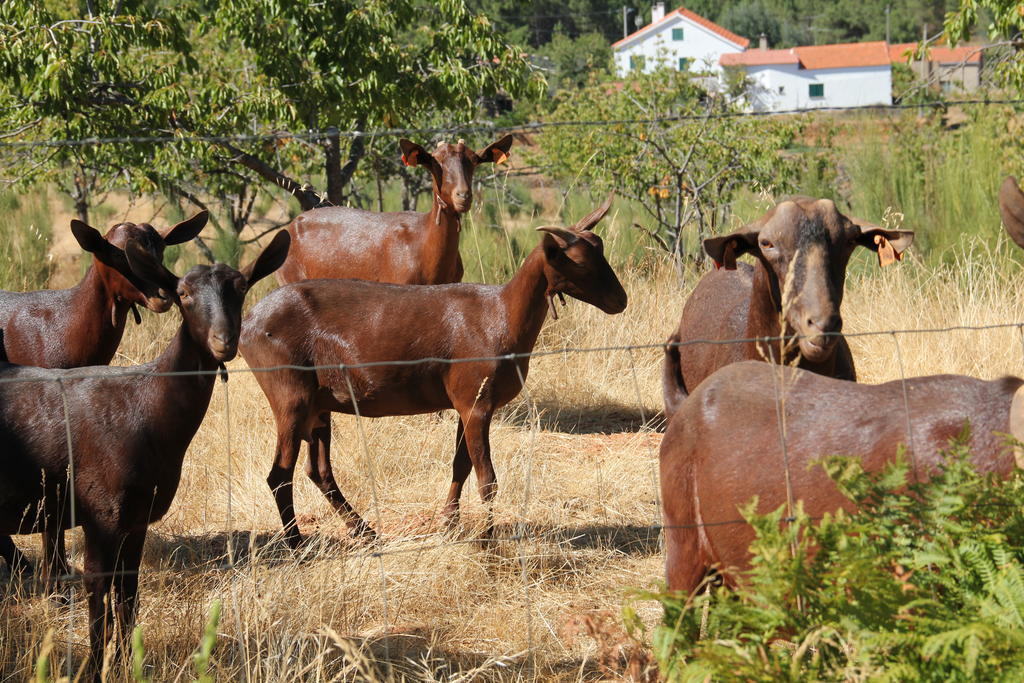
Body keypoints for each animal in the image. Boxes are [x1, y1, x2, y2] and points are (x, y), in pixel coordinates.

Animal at [0, 232, 292, 671]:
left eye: (241, 287)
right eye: (183, 293)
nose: (224, 342)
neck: (147, 405)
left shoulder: (136, 519)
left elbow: (128, 593)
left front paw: (126, 663)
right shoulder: (101, 514)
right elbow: (99, 594)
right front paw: (95, 668)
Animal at [239, 194, 626, 548]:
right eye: (578, 261)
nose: (619, 300)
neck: (501, 315)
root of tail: (248, 321)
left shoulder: (466, 403)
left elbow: (461, 465)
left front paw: (450, 524)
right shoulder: (476, 402)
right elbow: (487, 478)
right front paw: (487, 540)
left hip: (318, 404)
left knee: (318, 471)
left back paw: (365, 532)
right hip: (289, 395)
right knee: (280, 474)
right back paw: (296, 543)